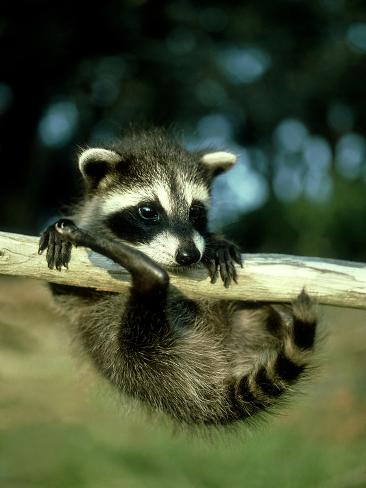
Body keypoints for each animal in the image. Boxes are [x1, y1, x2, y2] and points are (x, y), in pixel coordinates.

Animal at [38, 130, 316, 428]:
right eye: (148, 211)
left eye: (196, 211)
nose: (189, 255)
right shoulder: (77, 295)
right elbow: (65, 292)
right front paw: (58, 232)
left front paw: (216, 242)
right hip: (136, 354)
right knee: (149, 294)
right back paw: (143, 268)